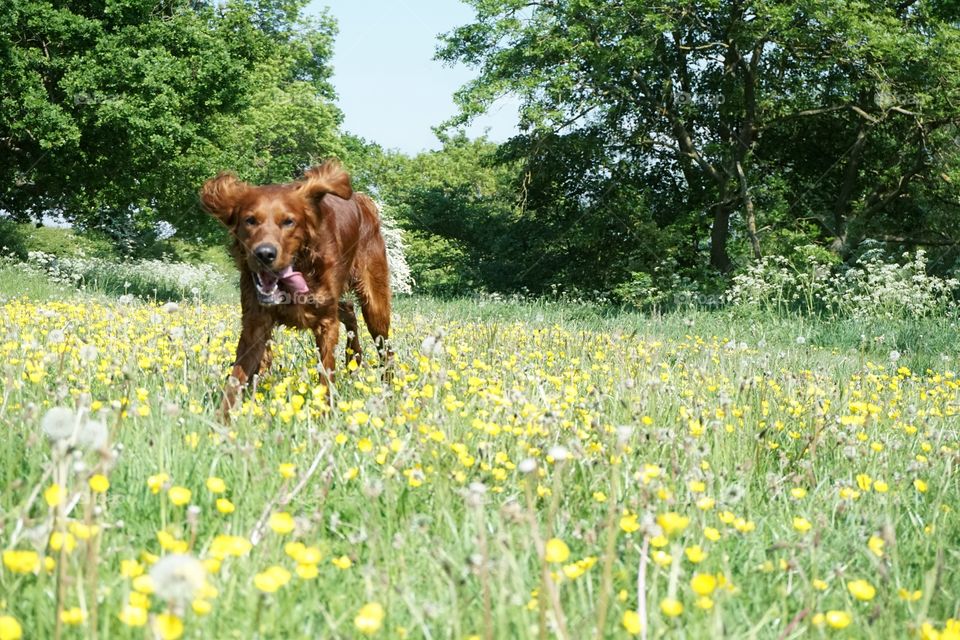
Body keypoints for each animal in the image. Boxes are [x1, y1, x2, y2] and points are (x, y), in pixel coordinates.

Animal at [201, 160, 392, 416]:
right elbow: (236, 377)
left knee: (385, 347)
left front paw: (324, 414)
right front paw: (223, 418)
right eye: (250, 220)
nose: (264, 254)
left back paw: (390, 389)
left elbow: (326, 374)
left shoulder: (326, 322)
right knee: (349, 310)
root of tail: (363, 200)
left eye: (288, 221)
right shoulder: (255, 324)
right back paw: (353, 359)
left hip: (375, 303)